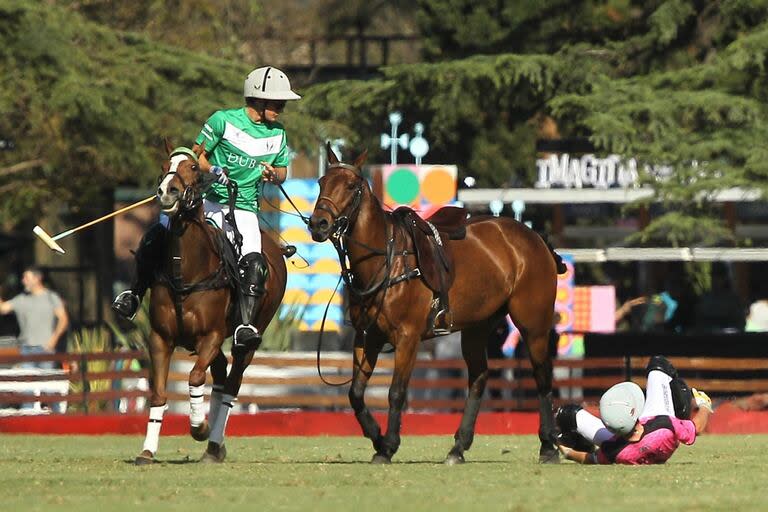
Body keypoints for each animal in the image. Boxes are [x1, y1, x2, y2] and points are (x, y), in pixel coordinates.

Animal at [134, 143, 286, 464]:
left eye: (193, 167)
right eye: (166, 164)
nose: (167, 191)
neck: (187, 269)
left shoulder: (211, 336)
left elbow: (193, 378)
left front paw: (199, 427)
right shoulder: (160, 337)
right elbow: (159, 394)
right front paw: (147, 450)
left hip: (249, 337)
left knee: (231, 383)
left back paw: (214, 442)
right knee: (219, 374)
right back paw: (216, 446)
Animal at [308, 147, 564, 464]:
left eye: (351, 186)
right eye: (321, 182)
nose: (318, 224)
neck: (384, 259)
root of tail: (536, 238)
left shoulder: (408, 337)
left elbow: (396, 392)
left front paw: (389, 444)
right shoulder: (367, 336)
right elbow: (355, 393)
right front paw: (377, 438)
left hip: (533, 324)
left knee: (542, 375)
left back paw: (548, 445)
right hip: (478, 326)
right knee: (478, 377)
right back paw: (458, 447)